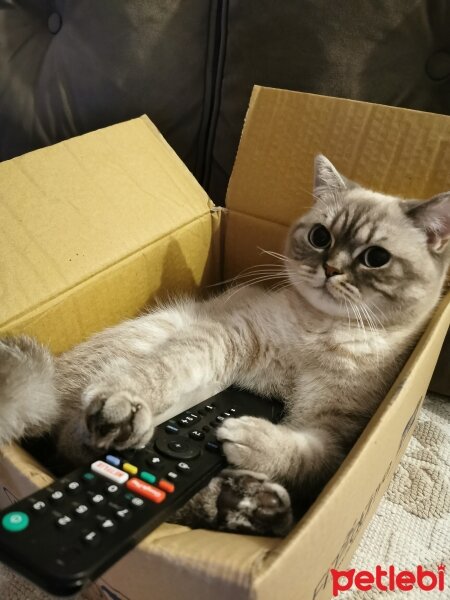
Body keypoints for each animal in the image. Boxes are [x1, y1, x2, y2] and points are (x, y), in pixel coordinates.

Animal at [0, 154, 450, 536]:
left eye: (375, 258)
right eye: (320, 236)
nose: (330, 268)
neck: (322, 331)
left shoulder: (336, 433)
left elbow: (304, 455)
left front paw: (248, 439)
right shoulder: (228, 338)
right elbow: (164, 370)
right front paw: (125, 402)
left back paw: (252, 505)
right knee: (72, 440)